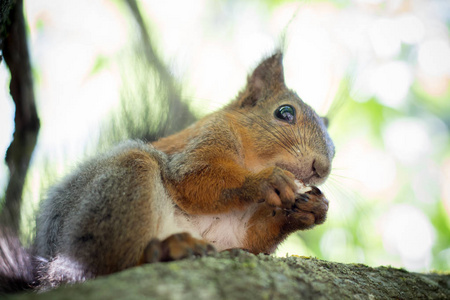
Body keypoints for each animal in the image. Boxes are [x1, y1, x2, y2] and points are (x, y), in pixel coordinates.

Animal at [0, 50, 334, 292]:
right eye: (284, 112)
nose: (322, 167)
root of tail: (47, 271)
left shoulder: (230, 235)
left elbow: (248, 239)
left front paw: (311, 209)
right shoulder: (205, 140)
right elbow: (193, 181)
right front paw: (266, 180)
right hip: (121, 186)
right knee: (101, 266)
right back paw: (162, 251)